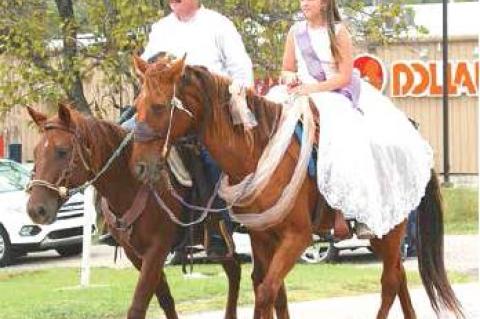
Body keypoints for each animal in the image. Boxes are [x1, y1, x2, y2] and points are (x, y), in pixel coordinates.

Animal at [25, 104, 242, 319]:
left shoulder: (157, 248)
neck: (132, 184)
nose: (36, 210)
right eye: (35, 153)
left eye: (62, 151)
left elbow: (138, 305)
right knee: (235, 271)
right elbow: (165, 298)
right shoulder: (136, 253)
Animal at [129, 55, 464, 319]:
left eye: (158, 107)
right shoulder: (262, 237)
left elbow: (266, 292)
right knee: (399, 277)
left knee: (390, 283)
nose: (139, 166)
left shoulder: (297, 237)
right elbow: (268, 289)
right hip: (384, 235)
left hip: (390, 230)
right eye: (136, 105)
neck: (258, 152)